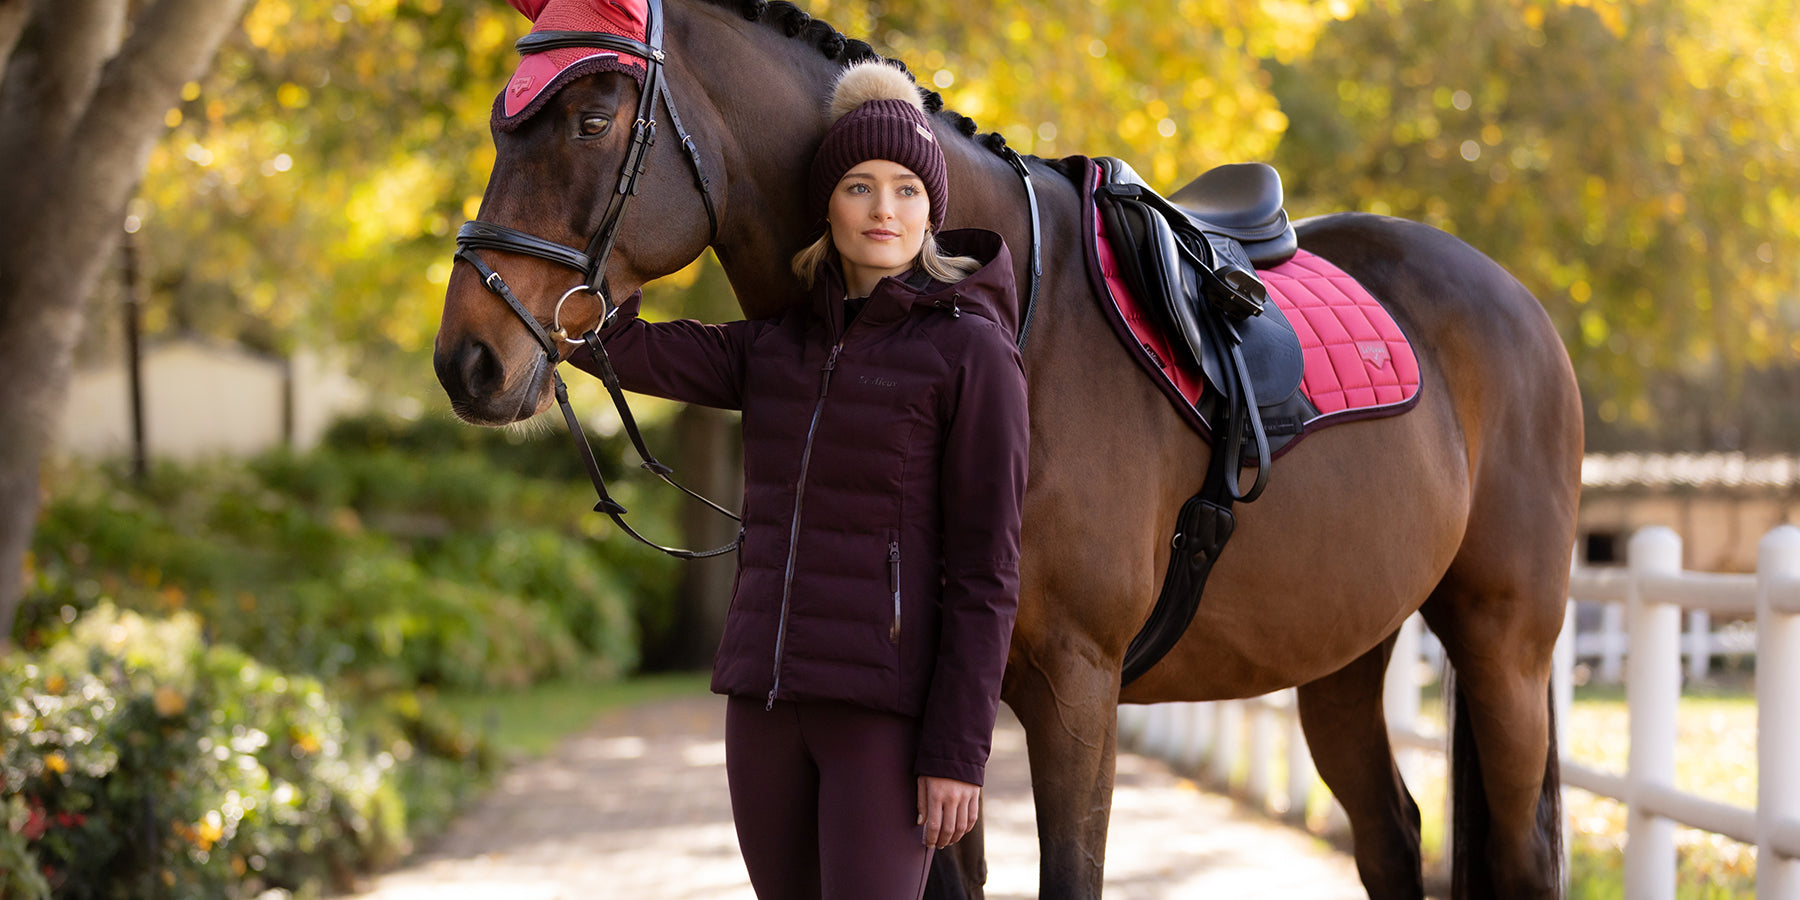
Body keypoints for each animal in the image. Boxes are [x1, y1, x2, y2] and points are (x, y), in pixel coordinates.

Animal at [432, 2, 1582, 897]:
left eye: (591, 119)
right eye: (501, 124)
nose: (468, 360)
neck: (1005, 314)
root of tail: (1516, 301)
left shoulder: (1076, 692)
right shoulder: (935, 716)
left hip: (1505, 644)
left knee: (1520, 854)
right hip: (1345, 655)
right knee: (1391, 836)